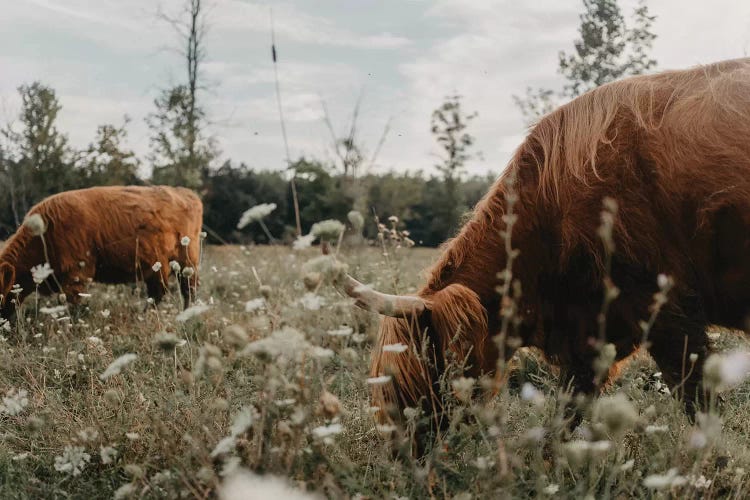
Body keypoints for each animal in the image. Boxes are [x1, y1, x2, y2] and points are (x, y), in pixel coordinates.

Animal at [0, 186, 204, 318]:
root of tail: (185, 193)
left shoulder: (77, 273)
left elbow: (72, 304)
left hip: (187, 261)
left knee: (188, 289)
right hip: (157, 267)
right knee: (158, 292)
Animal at [346, 59, 750, 426]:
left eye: (425, 367)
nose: (402, 446)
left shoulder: (668, 310)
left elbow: (697, 400)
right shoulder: (588, 340)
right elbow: (566, 416)